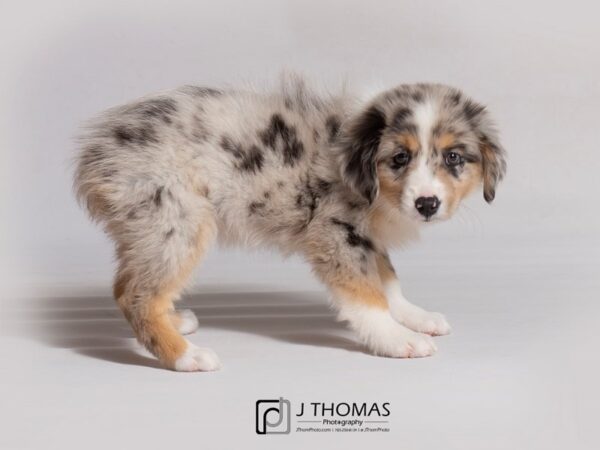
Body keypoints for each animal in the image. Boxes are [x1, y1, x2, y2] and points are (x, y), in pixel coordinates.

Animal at [74, 75, 506, 372]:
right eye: (400, 158)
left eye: (453, 158)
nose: (426, 204)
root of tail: (95, 156)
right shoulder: (335, 232)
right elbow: (366, 294)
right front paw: (397, 338)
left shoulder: (365, 236)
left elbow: (388, 281)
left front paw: (414, 316)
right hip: (177, 222)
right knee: (137, 296)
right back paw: (187, 356)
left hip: (149, 229)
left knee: (126, 285)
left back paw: (176, 321)